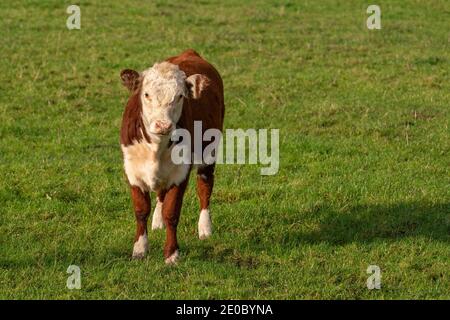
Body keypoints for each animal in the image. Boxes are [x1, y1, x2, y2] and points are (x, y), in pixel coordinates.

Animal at [119, 50, 225, 264]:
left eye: (179, 96)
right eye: (146, 94)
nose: (163, 125)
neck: (156, 148)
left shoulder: (181, 172)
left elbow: (172, 212)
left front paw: (172, 254)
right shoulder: (133, 171)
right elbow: (141, 210)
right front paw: (140, 249)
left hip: (209, 152)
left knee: (205, 187)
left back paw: (205, 228)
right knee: (161, 193)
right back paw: (157, 222)